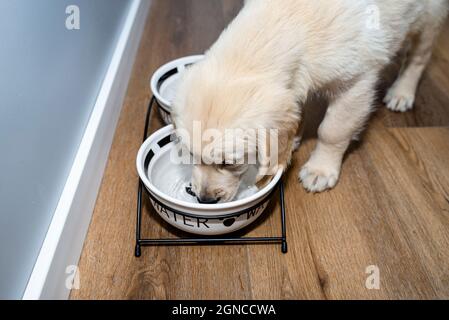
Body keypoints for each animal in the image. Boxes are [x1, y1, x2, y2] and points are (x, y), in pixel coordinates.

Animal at [171, 0, 444, 202]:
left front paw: (320, 169)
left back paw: (402, 92)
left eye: (228, 163)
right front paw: (294, 139)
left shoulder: (357, 83)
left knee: (419, 57)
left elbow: (332, 131)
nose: (205, 200)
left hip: (428, 16)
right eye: (189, 154)